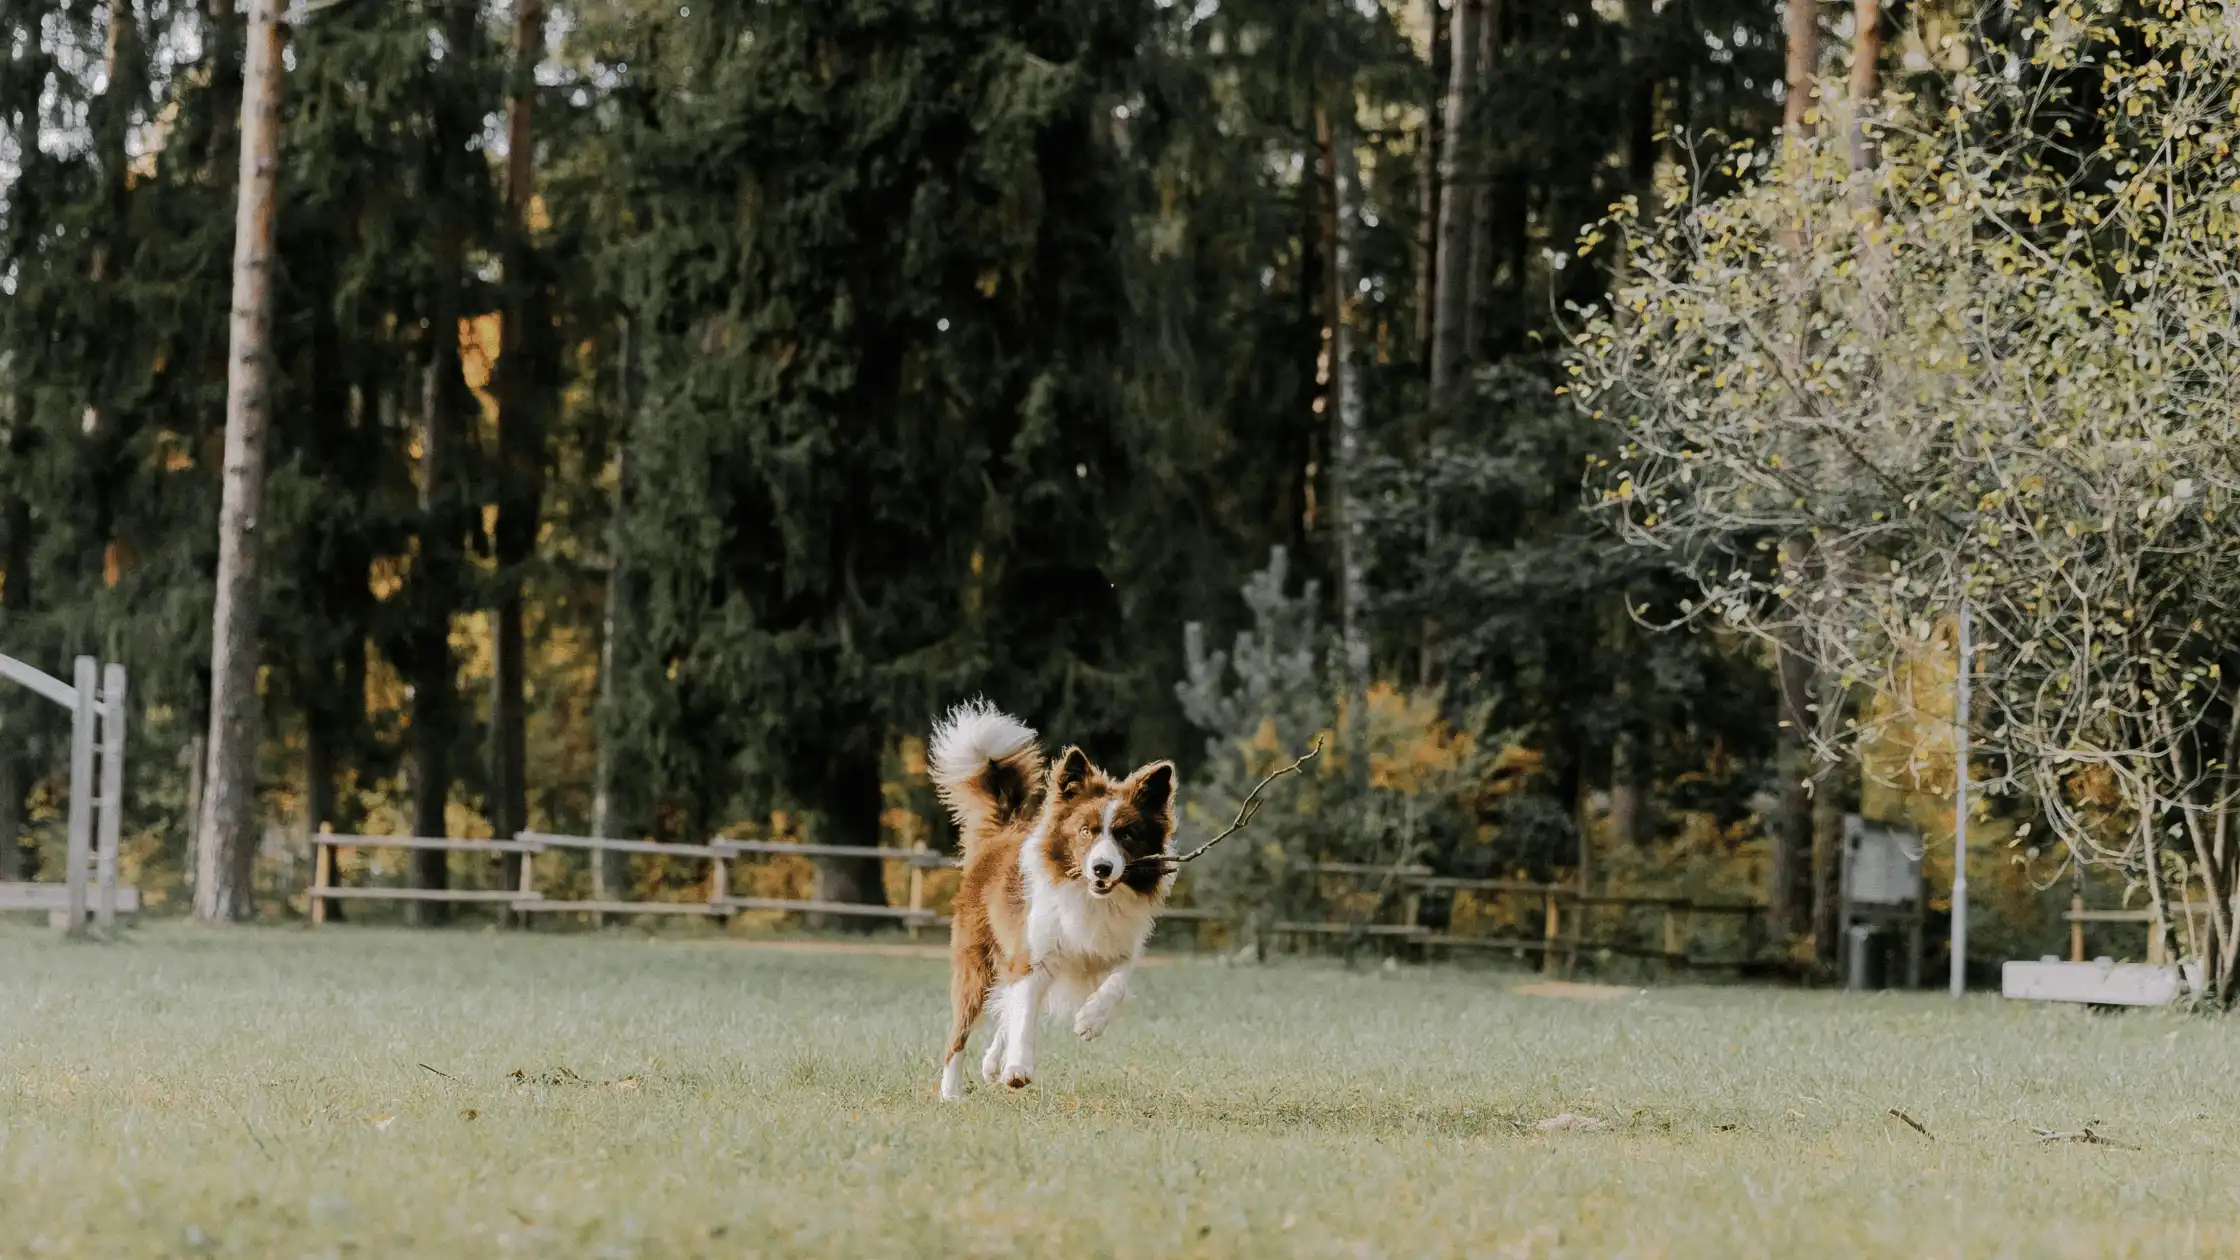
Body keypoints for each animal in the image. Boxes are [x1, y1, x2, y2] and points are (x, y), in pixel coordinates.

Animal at [927, 699, 1182, 1094]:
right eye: (1085, 831)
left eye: (1126, 835)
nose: (1102, 869)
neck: (1091, 898)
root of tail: (1001, 832)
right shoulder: (1035, 956)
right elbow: (1022, 1016)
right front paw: (1017, 1068)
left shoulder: (1120, 944)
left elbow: (1118, 981)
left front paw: (1091, 1020)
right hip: (976, 961)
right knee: (961, 1030)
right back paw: (952, 1092)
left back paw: (991, 1063)